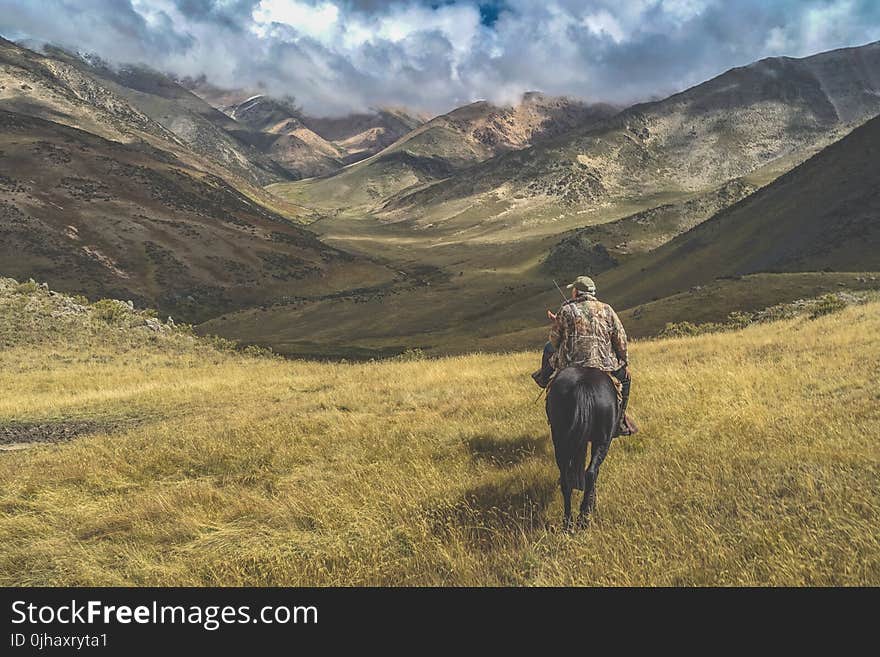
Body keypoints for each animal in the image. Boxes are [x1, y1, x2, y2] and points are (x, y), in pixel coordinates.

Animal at [544, 366, 620, 532]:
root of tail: (583, 385)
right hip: (603, 442)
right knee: (591, 473)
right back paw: (583, 518)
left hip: (560, 441)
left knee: (566, 479)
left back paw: (568, 523)